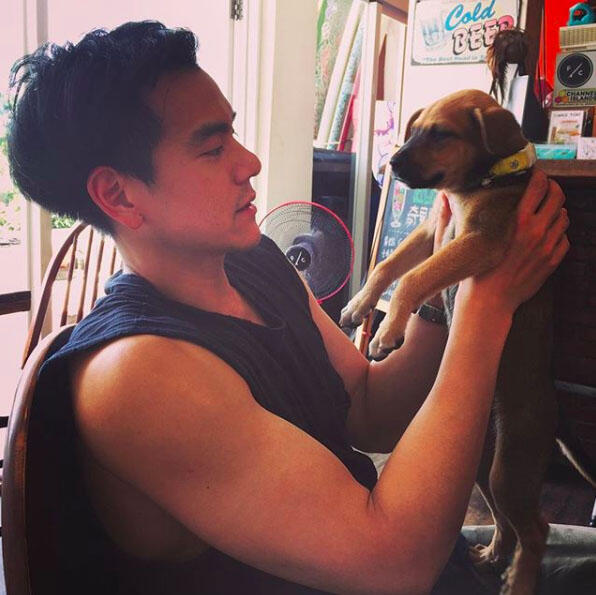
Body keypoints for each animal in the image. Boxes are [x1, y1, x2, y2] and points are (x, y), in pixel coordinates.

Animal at [340, 89, 596, 594]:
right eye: (415, 129)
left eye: (441, 134)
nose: (392, 163)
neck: (481, 184)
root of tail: (555, 406)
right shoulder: (429, 233)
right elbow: (390, 266)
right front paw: (360, 307)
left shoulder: (481, 240)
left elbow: (412, 276)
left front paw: (387, 331)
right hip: (485, 465)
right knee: (508, 522)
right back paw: (494, 556)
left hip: (511, 463)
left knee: (537, 528)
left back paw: (518, 580)